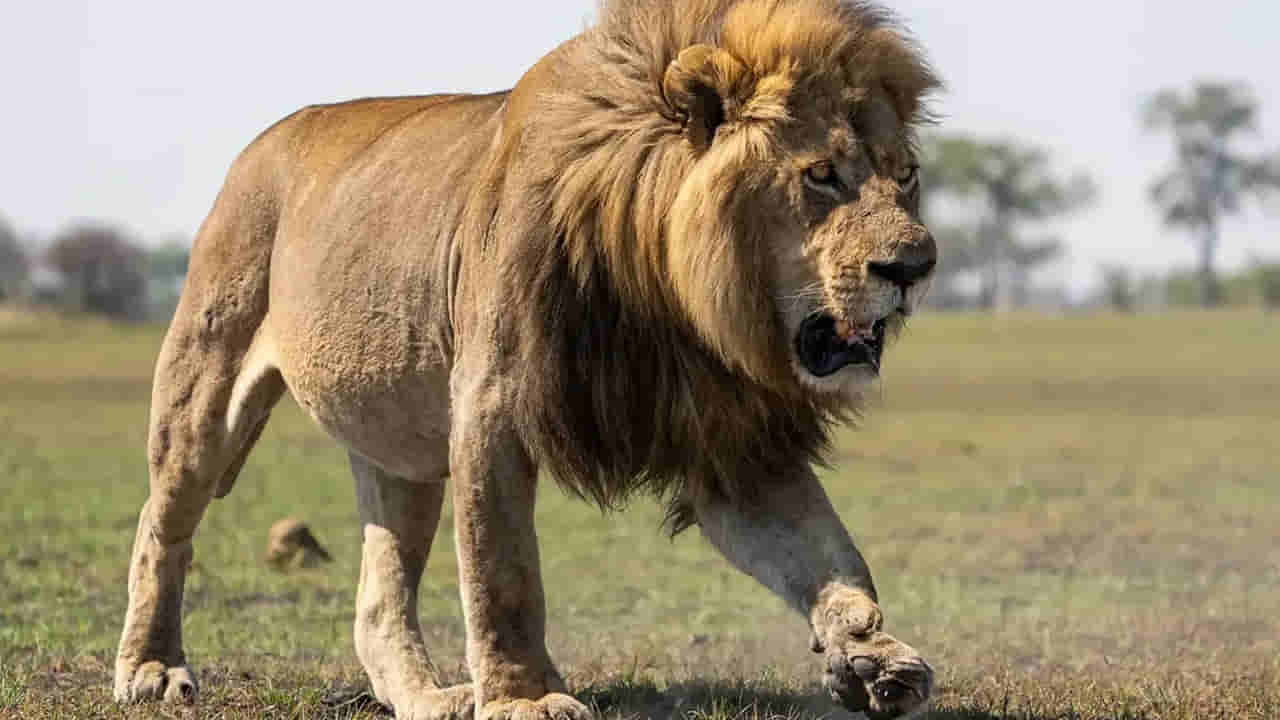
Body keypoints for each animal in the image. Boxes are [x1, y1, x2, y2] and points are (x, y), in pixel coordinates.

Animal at [113, 1, 941, 718]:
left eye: (904, 176)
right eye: (821, 175)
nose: (916, 266)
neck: (669, 295)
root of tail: (265, 141)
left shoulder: (730, 441)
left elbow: (828, 552)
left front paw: (870, 652)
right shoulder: (492, 407)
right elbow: (502, 571)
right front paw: (524, 698)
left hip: (401, 451)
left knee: (381, 596)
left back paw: (430, 698)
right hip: (207, 384)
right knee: (163, 525)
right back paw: (152, 668)